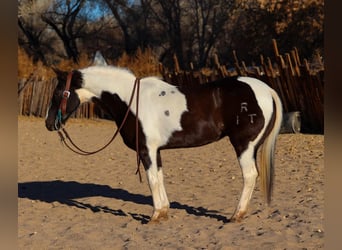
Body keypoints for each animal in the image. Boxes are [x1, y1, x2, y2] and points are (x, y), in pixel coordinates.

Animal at [46, 65, 284, 223]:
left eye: (58, 93)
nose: (49, 123)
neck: (130, 101)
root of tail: (265, 89)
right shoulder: (155, 151)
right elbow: (159, 177)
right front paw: (163, 211)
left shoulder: (146, 150)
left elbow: (152, 180)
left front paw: (155, 215)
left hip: (244, 145)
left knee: (250, 176)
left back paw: (236, 215)